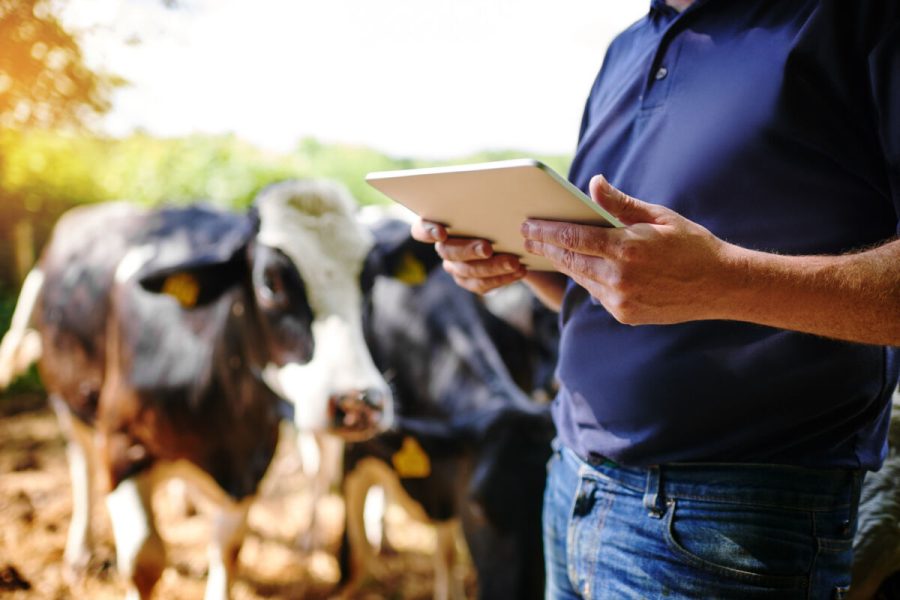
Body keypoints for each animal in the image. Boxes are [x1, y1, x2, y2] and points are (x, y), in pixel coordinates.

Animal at [0, 182, 394, 600]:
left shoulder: (249, 465)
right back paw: (81, 551)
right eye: (270, 284)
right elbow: (144, 560)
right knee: (82, 466)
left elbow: (228, 550)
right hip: (68, 401)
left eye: (368, 284)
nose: (361, 403)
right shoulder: (121, 445)